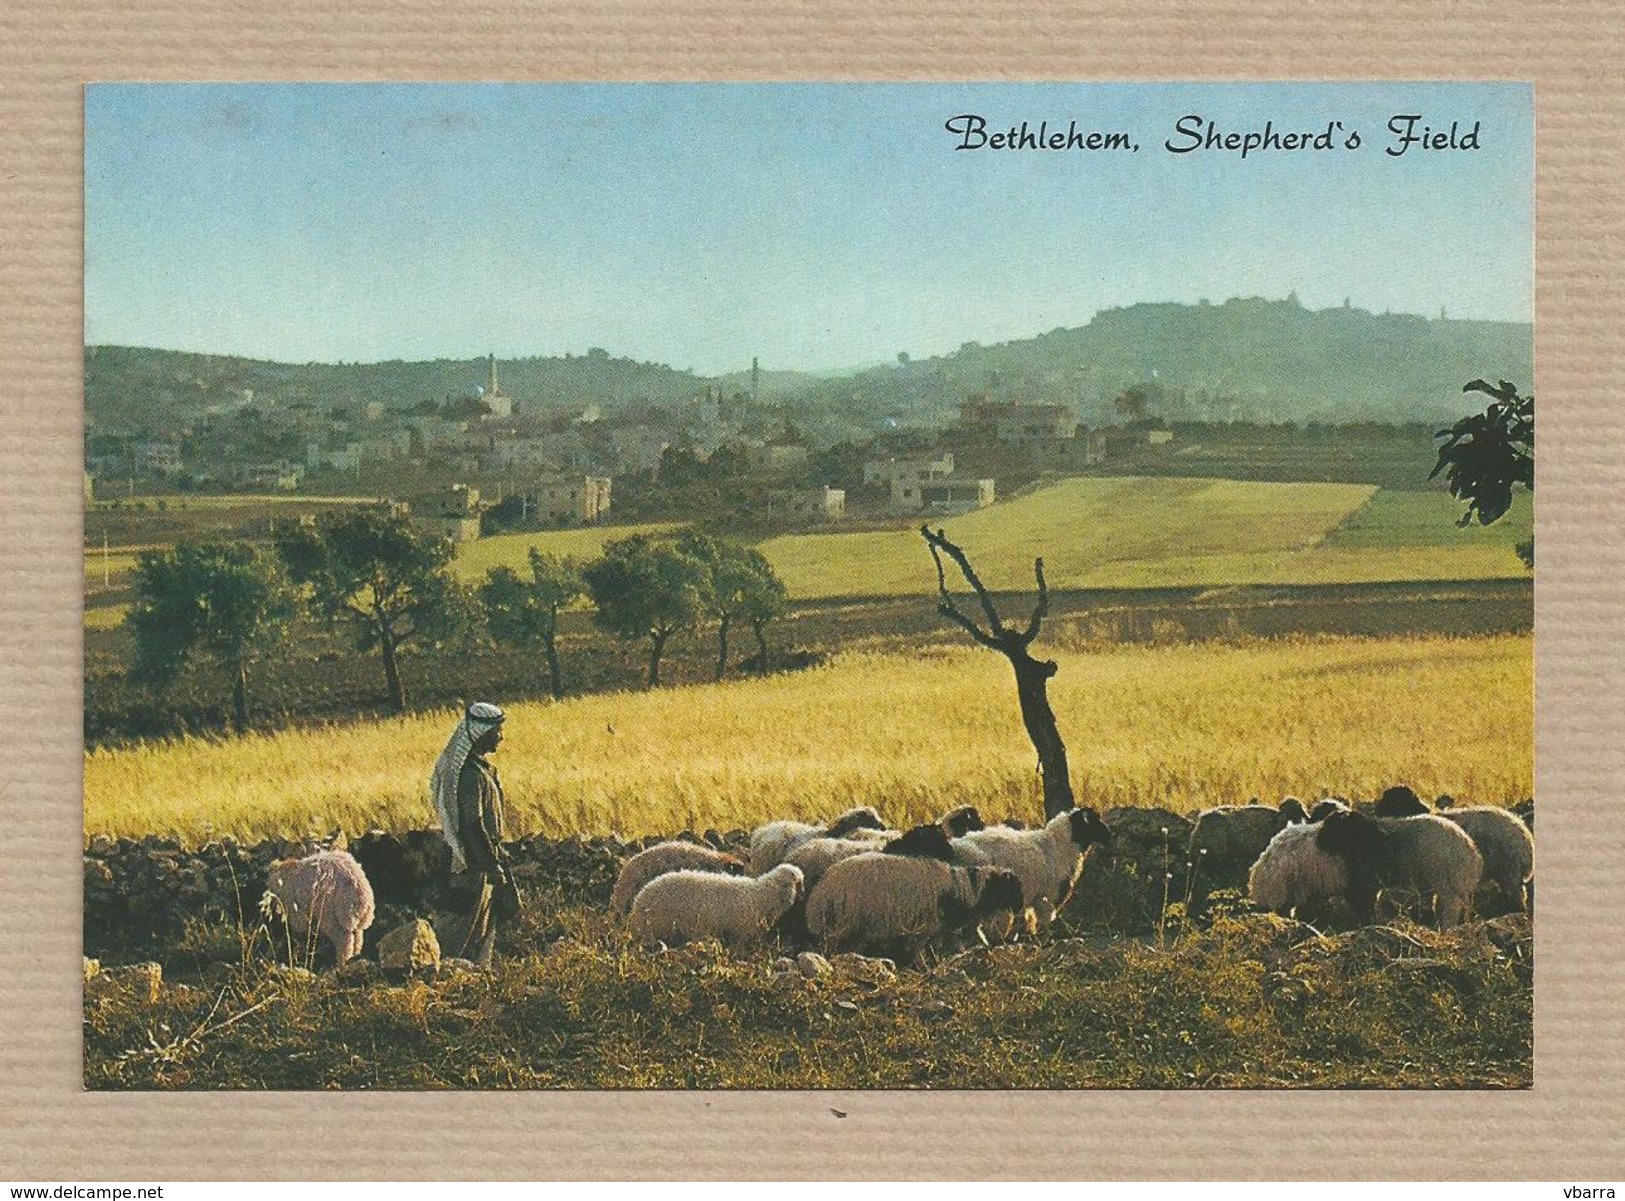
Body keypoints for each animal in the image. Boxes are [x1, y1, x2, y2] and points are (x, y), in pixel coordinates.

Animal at [627, 864, 806, 949]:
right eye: (798, 883)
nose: (803, 897)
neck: (763, 896)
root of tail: (638, 901)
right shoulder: (740, 933)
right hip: (657, 929)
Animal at [806, 851, 1020, 962]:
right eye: (1009, 887)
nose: (1018, 909)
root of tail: (821, 891)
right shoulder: (928, 926)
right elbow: (919, 951)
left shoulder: (940, 928)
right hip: (848, 923)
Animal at [1319, 809, 1488, 929]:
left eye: (1335, 828)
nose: (1321, 843)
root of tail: (1472, 854)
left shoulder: (1368, 881)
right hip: (1455, 884)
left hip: (1445, 880)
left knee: (1452, 905)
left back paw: (1446, 928)